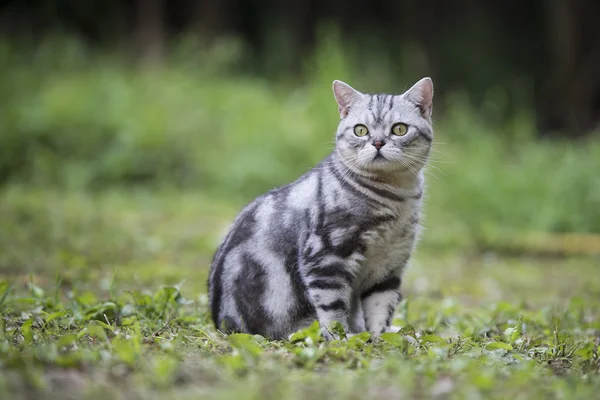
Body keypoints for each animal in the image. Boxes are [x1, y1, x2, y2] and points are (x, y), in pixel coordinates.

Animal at [209, 78, 434, 340]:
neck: (396, 197)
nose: (378, 143)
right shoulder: (325, 258)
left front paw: (382, 339)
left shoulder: (388, 266)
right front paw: (342, 339)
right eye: (361, 130)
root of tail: (220, 323)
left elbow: (381, 310)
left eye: (399, 129)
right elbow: (333, 310)